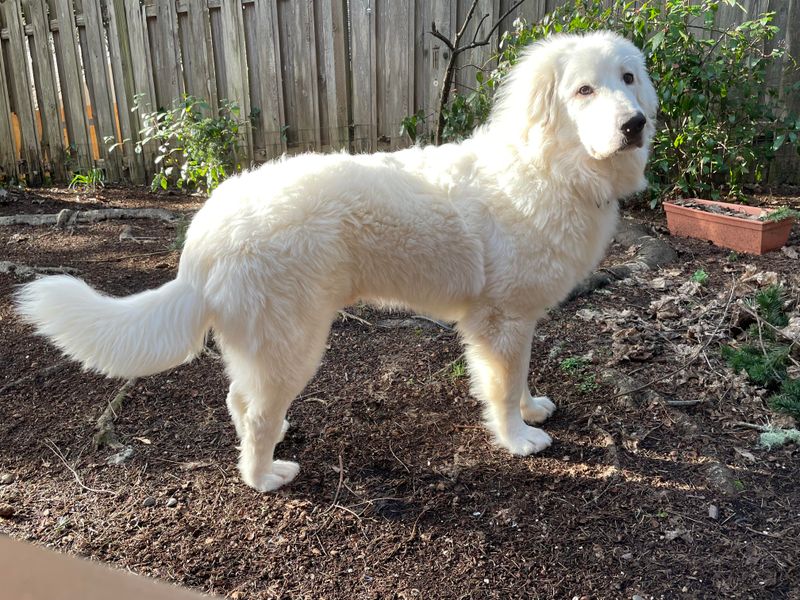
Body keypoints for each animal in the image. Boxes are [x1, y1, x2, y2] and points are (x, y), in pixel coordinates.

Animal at [17, 30, 656, 492]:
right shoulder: (498, 324)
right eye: (584, 91)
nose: (636, 124)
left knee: (238, 400)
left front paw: (532, 409)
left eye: (628, 78)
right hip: (293, 343)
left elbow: (521, 376)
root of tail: (207, 230)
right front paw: (517, 438)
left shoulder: (519, 322)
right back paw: (265, 476)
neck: (549, 166)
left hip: (265, 345)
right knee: (253, 414)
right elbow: (501, 388)